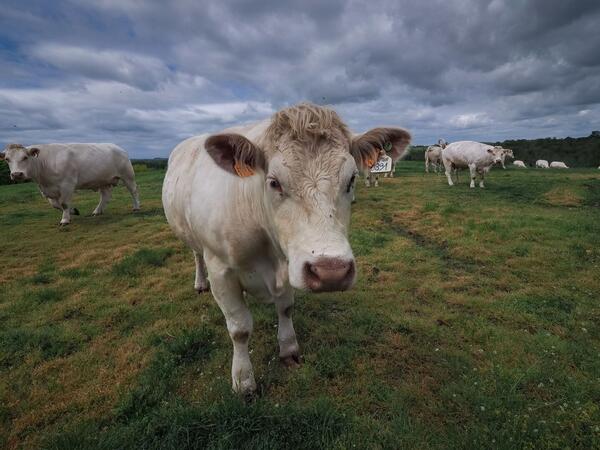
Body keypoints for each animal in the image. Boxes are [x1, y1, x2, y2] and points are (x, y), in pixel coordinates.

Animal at [0, 143, 139, 224]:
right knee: (105, 196)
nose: (16, 174)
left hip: (127, 175)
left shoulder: (67, 185)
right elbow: (56, 205)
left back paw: (136, 207)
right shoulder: (47, 190)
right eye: (7, 159)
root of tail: (117, 147)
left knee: (133, 191)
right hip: (103, 180)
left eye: (25, 157)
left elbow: (64, 203)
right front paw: (73, 211)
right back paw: (97, 211)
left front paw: (65, 219)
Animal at [162, 102, 410, 394]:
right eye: (274, 182)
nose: (332, 272)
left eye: (351, 180)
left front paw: (289, 348)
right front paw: (243, 379)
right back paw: (200, 283)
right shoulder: (221, 270)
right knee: (196, 255)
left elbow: (286, 309)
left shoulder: (292, 263)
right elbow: (239, 328)